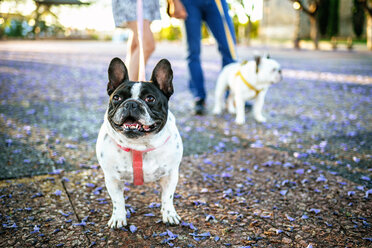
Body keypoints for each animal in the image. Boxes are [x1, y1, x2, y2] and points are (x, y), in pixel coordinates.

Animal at [96, 58, 183, 229]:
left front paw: (169, 214)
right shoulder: (112, 178)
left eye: (150, 99)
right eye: (117, 98)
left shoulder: (170, 175)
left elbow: (168, 197)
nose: (131, 103)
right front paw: (118, 217)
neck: (140, 145)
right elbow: (118, 200)